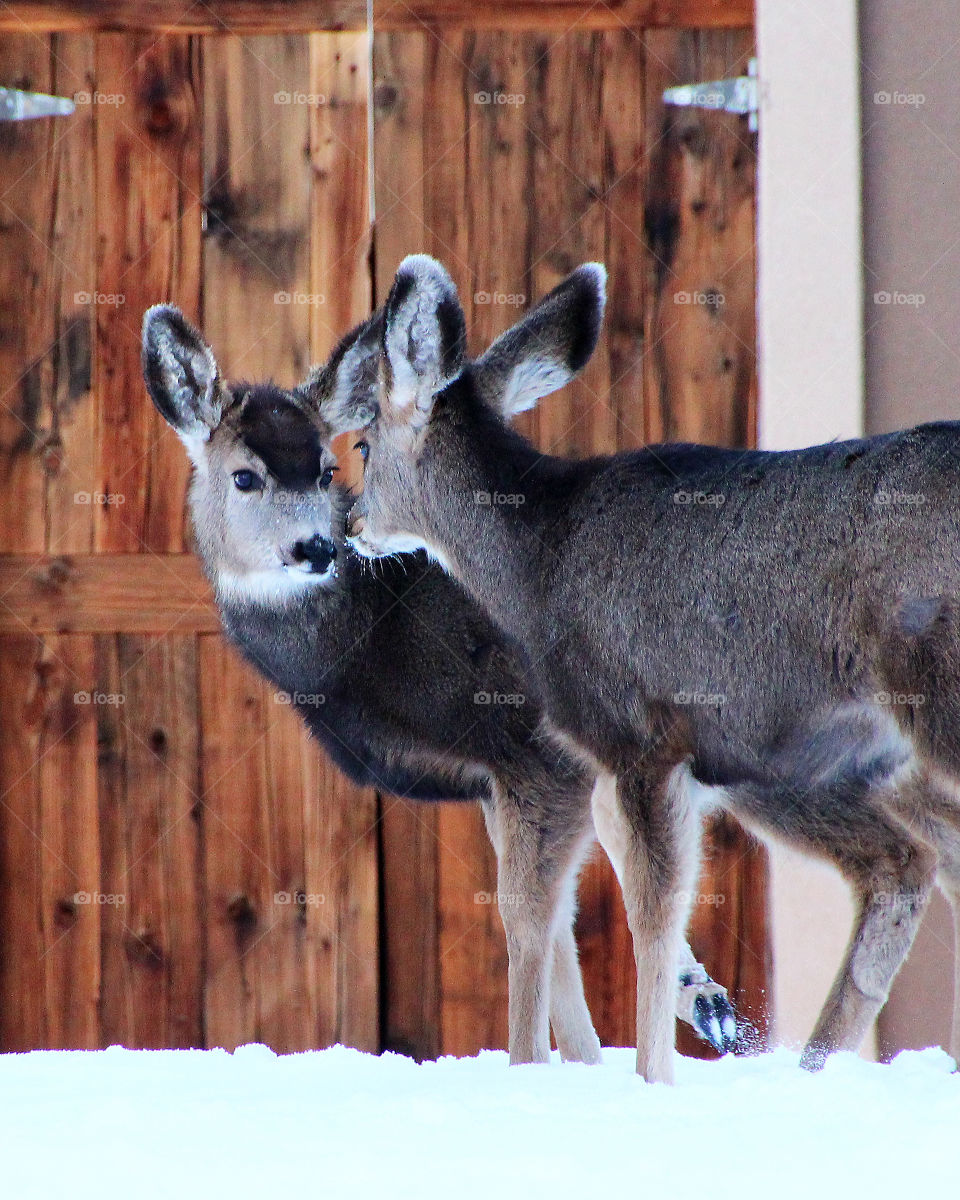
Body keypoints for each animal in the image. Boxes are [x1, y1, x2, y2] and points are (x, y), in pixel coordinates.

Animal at [138, 304, 734, 1065]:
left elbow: (530, 922)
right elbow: (563, 934)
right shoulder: (496, 777)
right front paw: (614, 1047)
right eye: (244, 477)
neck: (380, 635)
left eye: (328, 467)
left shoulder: (535, 751)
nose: (317, 547)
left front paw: (532, 1063)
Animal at [338, 250, 960, 1080]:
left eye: (363, 444)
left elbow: (651, 914)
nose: (352, 524)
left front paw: (651, 1077)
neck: (537, 563)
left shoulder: (639, 734)